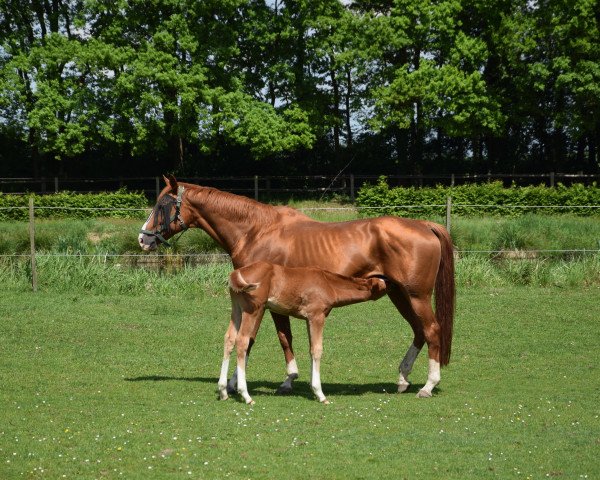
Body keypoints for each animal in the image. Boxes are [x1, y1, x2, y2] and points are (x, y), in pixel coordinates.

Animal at [218, 262, 386, 404]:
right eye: (385, 284)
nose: (392, 284)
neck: (327, 283)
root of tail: (237, 272)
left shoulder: (308, 319)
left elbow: (311, 349)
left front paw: (313, 388)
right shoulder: (317, 316)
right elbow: (317, 349)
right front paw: (320, 394)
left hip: (237, 309)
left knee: (229, 339)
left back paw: (223, 390)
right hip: (253, 309)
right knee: (242, 341)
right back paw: (246, 395)